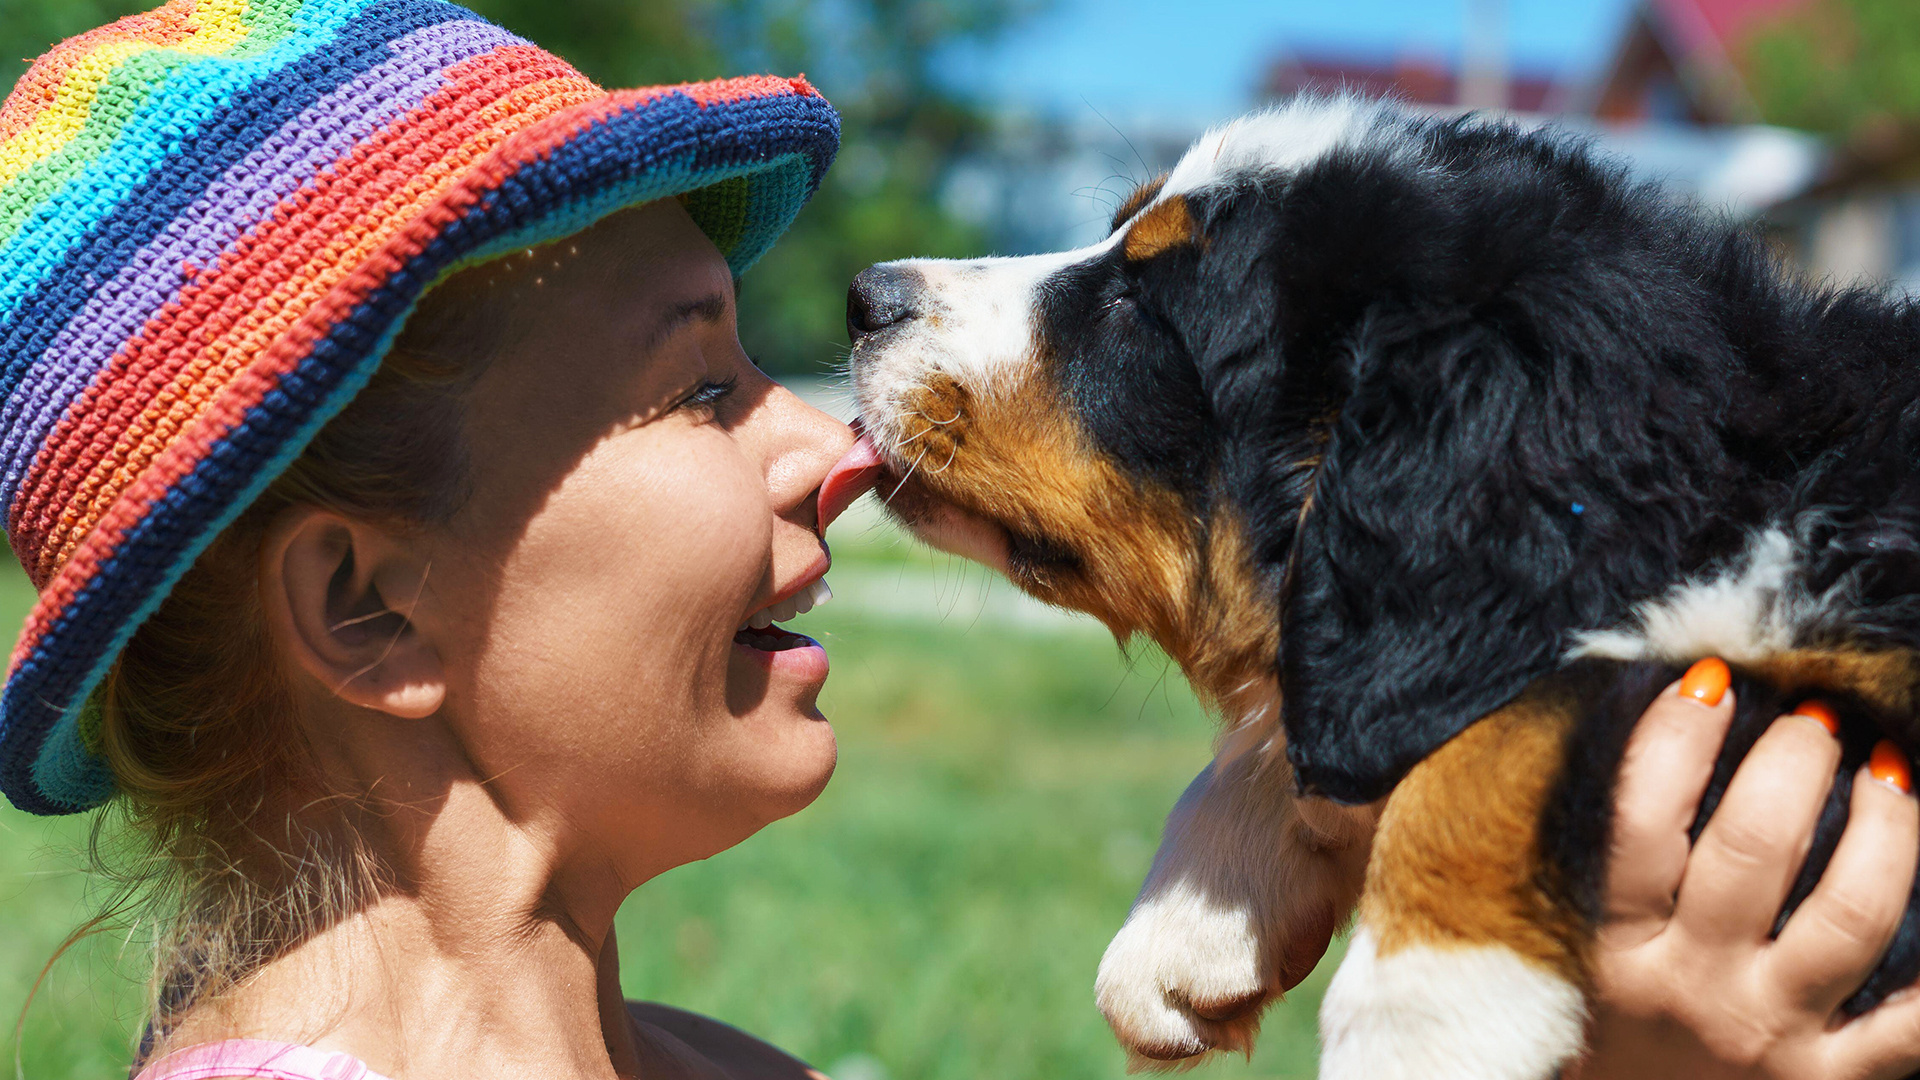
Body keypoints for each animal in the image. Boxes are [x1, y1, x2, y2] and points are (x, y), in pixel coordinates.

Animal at [848, 94, 1920, 1076]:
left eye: (1138, 309)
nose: (863, 296)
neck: (1750, 484)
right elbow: (1333, 701)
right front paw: (1193, 919)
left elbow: (1532, 710)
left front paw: (1428, 1008)